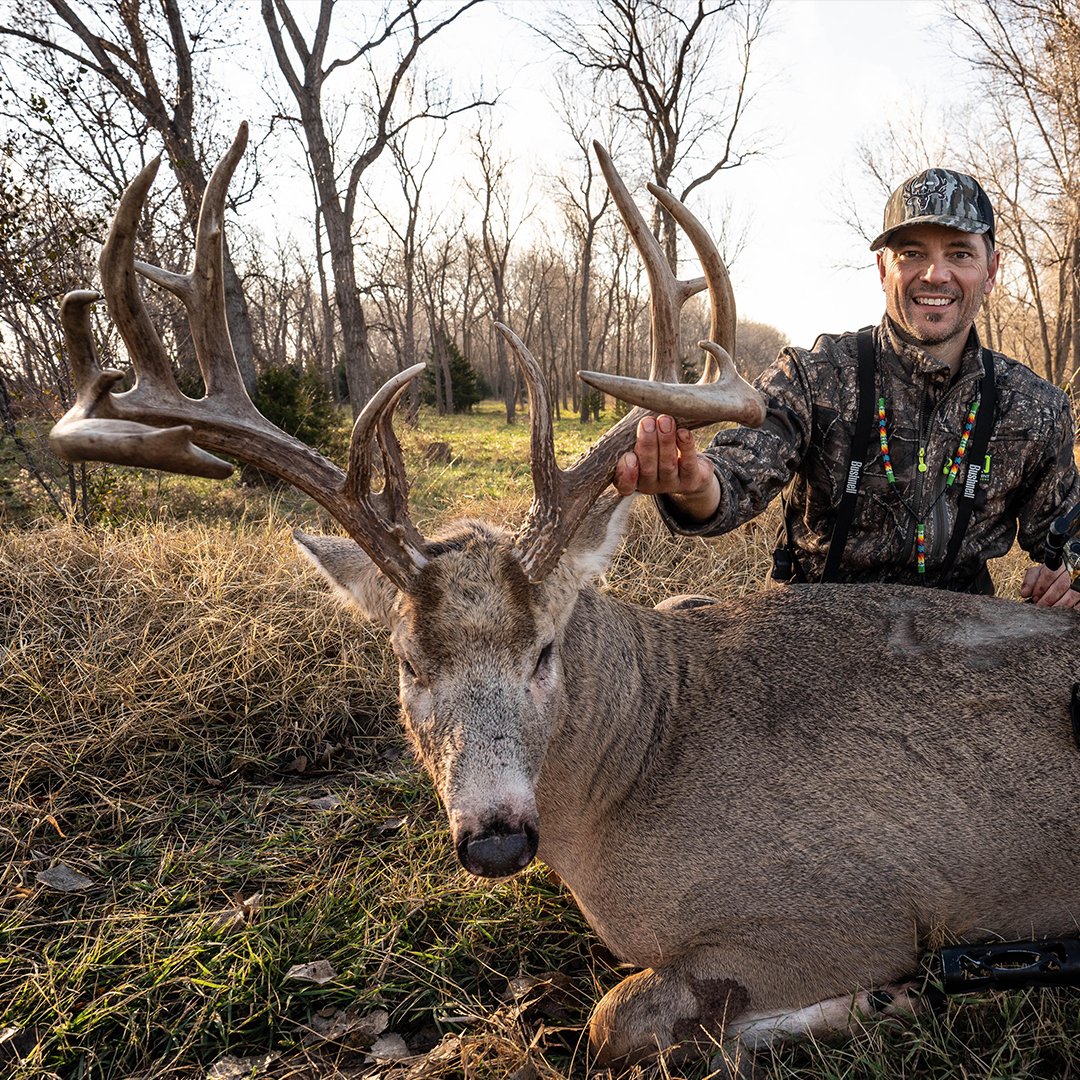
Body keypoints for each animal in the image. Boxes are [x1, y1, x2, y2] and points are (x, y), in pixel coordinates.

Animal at [50, 123, 1080, 1074]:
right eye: (406, 662)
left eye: (544, 649)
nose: (496, 839)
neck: (640, 766)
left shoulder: (859, 907)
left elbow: (614, 1015)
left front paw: (875, 1002)